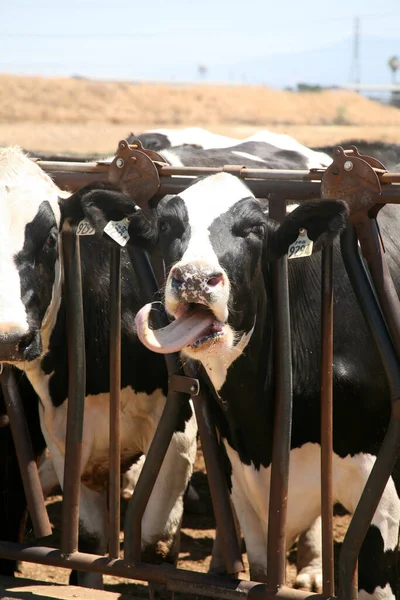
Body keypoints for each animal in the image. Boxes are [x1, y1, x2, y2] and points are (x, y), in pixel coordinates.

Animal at [0, 148, 198, 588]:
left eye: (50, 238)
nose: (7, 339)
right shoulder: (64, 436)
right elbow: (89, 545)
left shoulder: (178, 431)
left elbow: (154, 548)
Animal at [85, 171, 400, 596]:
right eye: (166, 226)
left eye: (254, 229)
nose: (195, 278)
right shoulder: (247, 486)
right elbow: (264, 574)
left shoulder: (381, 496)